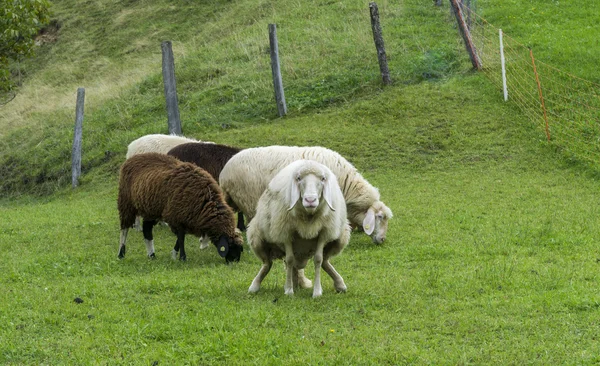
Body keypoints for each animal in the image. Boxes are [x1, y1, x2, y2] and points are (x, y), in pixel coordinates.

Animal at [247, 159, 352, 298]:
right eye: (298, 178)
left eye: (323, 179)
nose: (310, 200)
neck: (308, 217)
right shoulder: (285, 232)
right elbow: (289, 260)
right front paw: (289, 290)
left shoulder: (324, 233)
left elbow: (318, 260)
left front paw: (317, 292)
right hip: (256, 237)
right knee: (268, 263)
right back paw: (256, 285)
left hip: (341, 238)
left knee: (325, 261)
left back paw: (339, 284)